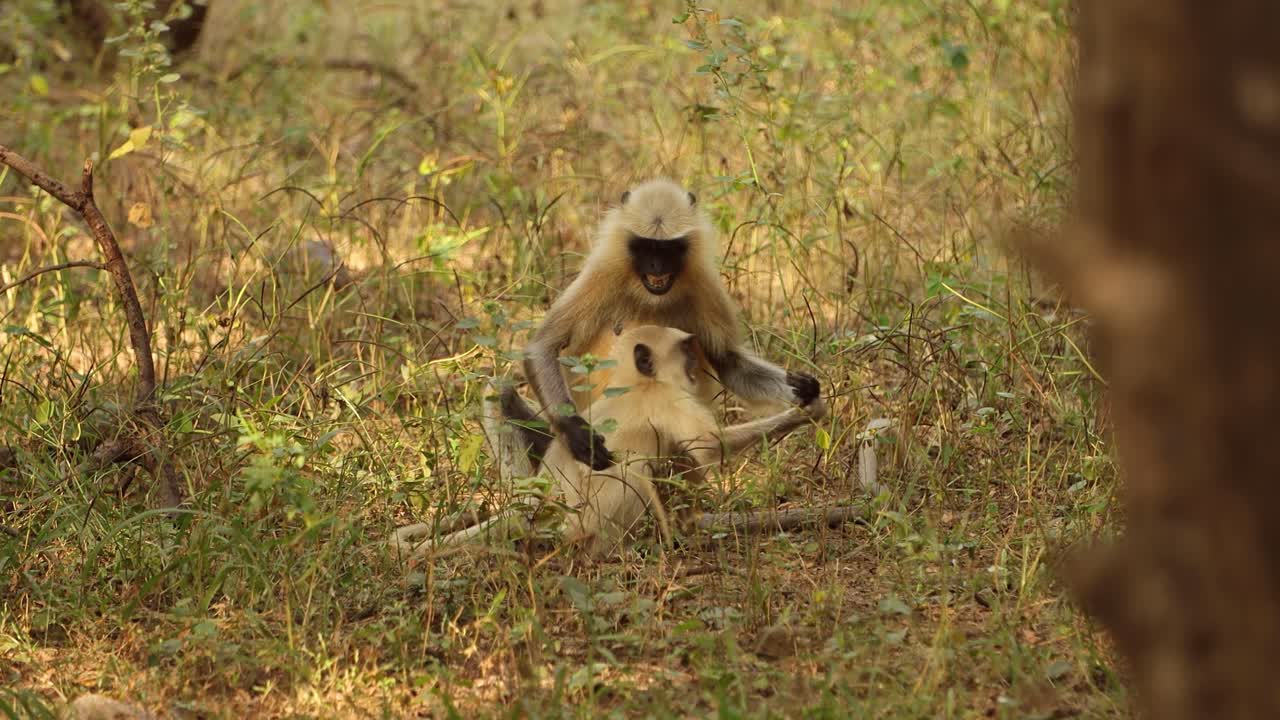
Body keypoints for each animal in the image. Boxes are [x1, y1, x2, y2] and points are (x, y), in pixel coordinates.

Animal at [390, 325, 826, 561]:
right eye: (685, 351)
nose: (697, 364)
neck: (634, 382)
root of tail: (544, 510)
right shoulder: (667, 397)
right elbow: (706, 446)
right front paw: (803, 413)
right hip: (585, 521)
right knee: (635, 470)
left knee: (498, 391)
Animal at [517, 178, 822, 473]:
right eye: (646, 247)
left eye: (667, 249)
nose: (657, 265)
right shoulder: (603, 272)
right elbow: (543, 346)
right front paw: (578, 434)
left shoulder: (706, 284)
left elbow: (730, 364)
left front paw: (805, 390)